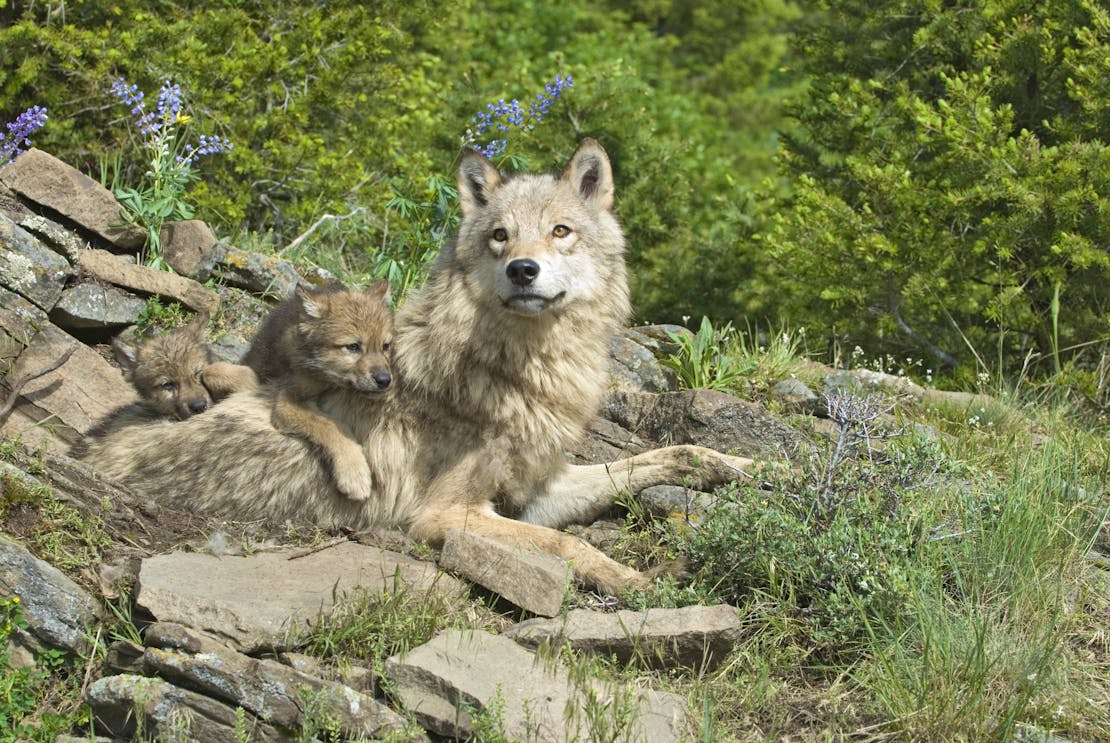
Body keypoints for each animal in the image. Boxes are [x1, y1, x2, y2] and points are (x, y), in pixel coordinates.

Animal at [80, 137, 754, 590]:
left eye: (560, 231)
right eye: (500, 237)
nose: (523, 269)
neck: (519, 371)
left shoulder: (538, 486)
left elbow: (665, 455)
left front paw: (745, 465)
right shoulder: (445, 514)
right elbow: (566, 547)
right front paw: (639, 584)